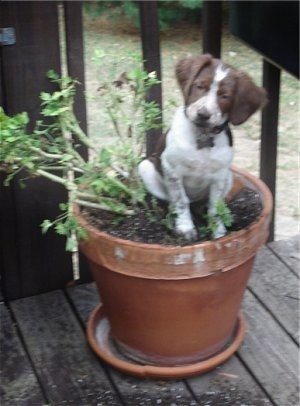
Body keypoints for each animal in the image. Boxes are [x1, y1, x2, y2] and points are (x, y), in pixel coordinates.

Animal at [138, 54, 268, 241]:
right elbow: (181, 200)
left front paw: (218, 232)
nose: (203, 114)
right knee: (171, 202)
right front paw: (185, 228)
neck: (203, 135)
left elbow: (215, 206)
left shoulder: (219, 176)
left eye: (225, 96)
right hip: (146, 168)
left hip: (229, 177)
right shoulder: (172, 170)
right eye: (199, 86)